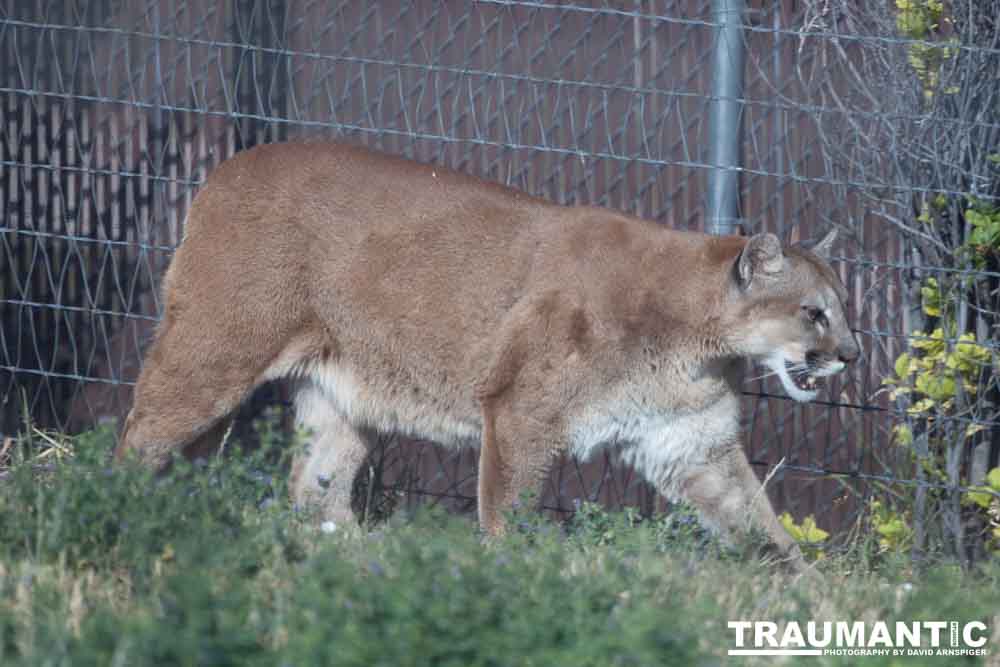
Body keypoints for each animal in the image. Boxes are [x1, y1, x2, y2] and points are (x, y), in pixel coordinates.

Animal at [115, 141, 860, 568]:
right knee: (134, 441)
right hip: (215, 352)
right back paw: (111, 510)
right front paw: (512, 578)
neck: (698, 338)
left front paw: (809, 600)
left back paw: (362, 562)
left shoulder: (691, 442)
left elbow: (760, 523)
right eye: (813, 312)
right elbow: (508, 509)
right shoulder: (522, 412)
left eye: (844, 308)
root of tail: (228, 164)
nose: (851, 354)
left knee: (315, 491)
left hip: (342, 392)